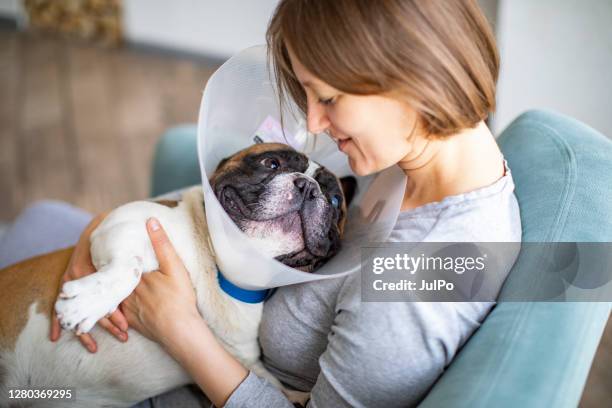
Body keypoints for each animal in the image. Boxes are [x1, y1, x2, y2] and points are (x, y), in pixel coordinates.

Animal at [0, 142, 356, 406]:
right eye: (271, 163)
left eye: (334, 199)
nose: (308, 187)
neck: (218, 266)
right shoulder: (122, 226)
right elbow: (130, 268)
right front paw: (86, 304)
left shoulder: (241, 364)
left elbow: (275, 388)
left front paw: (300, 395)